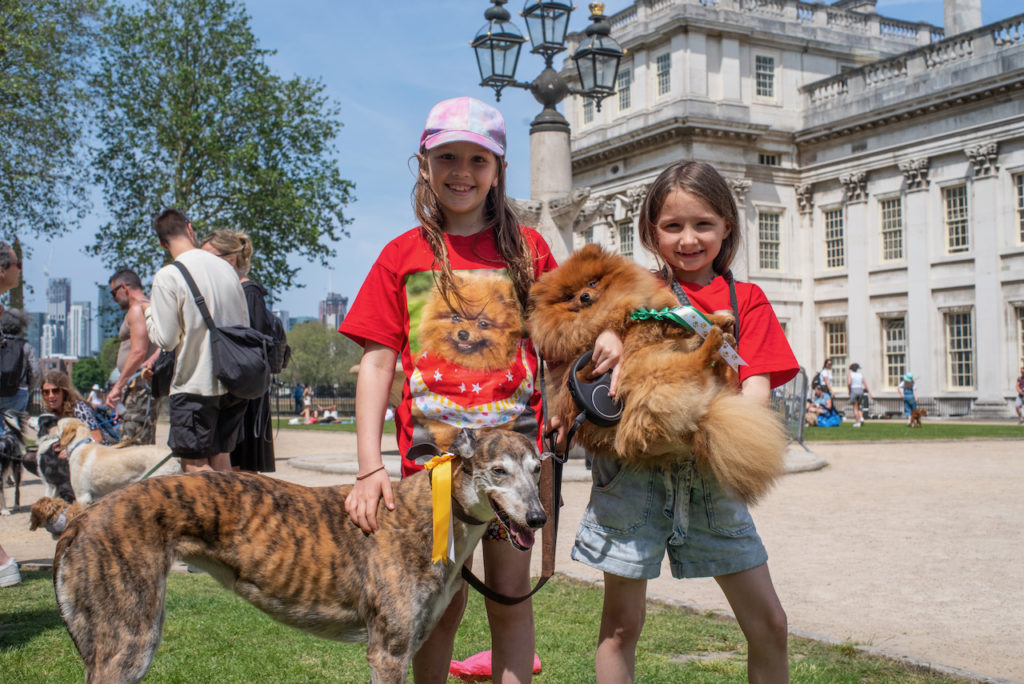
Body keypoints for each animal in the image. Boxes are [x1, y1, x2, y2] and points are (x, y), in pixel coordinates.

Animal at [52, 430, 548, 679]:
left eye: (537, 469)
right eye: (498, 470)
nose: (539, 518)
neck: (427, 511)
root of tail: (83, 517)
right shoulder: (387, 653)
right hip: (128, 644)